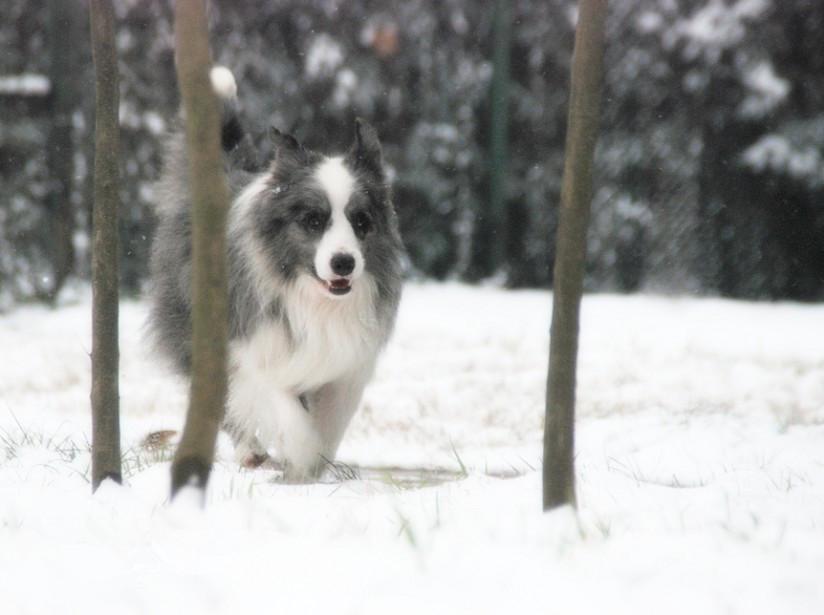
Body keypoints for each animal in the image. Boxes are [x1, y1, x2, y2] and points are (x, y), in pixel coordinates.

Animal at [150, 67, 406, 482]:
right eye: (314, 220)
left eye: (361, 221)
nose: (343, 263)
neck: (315, 296)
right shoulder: (255, 348)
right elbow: (288, 414)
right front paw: (299, 461)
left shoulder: (345, 366)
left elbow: (329, 422)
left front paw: (316, 466)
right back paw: (250, 452)